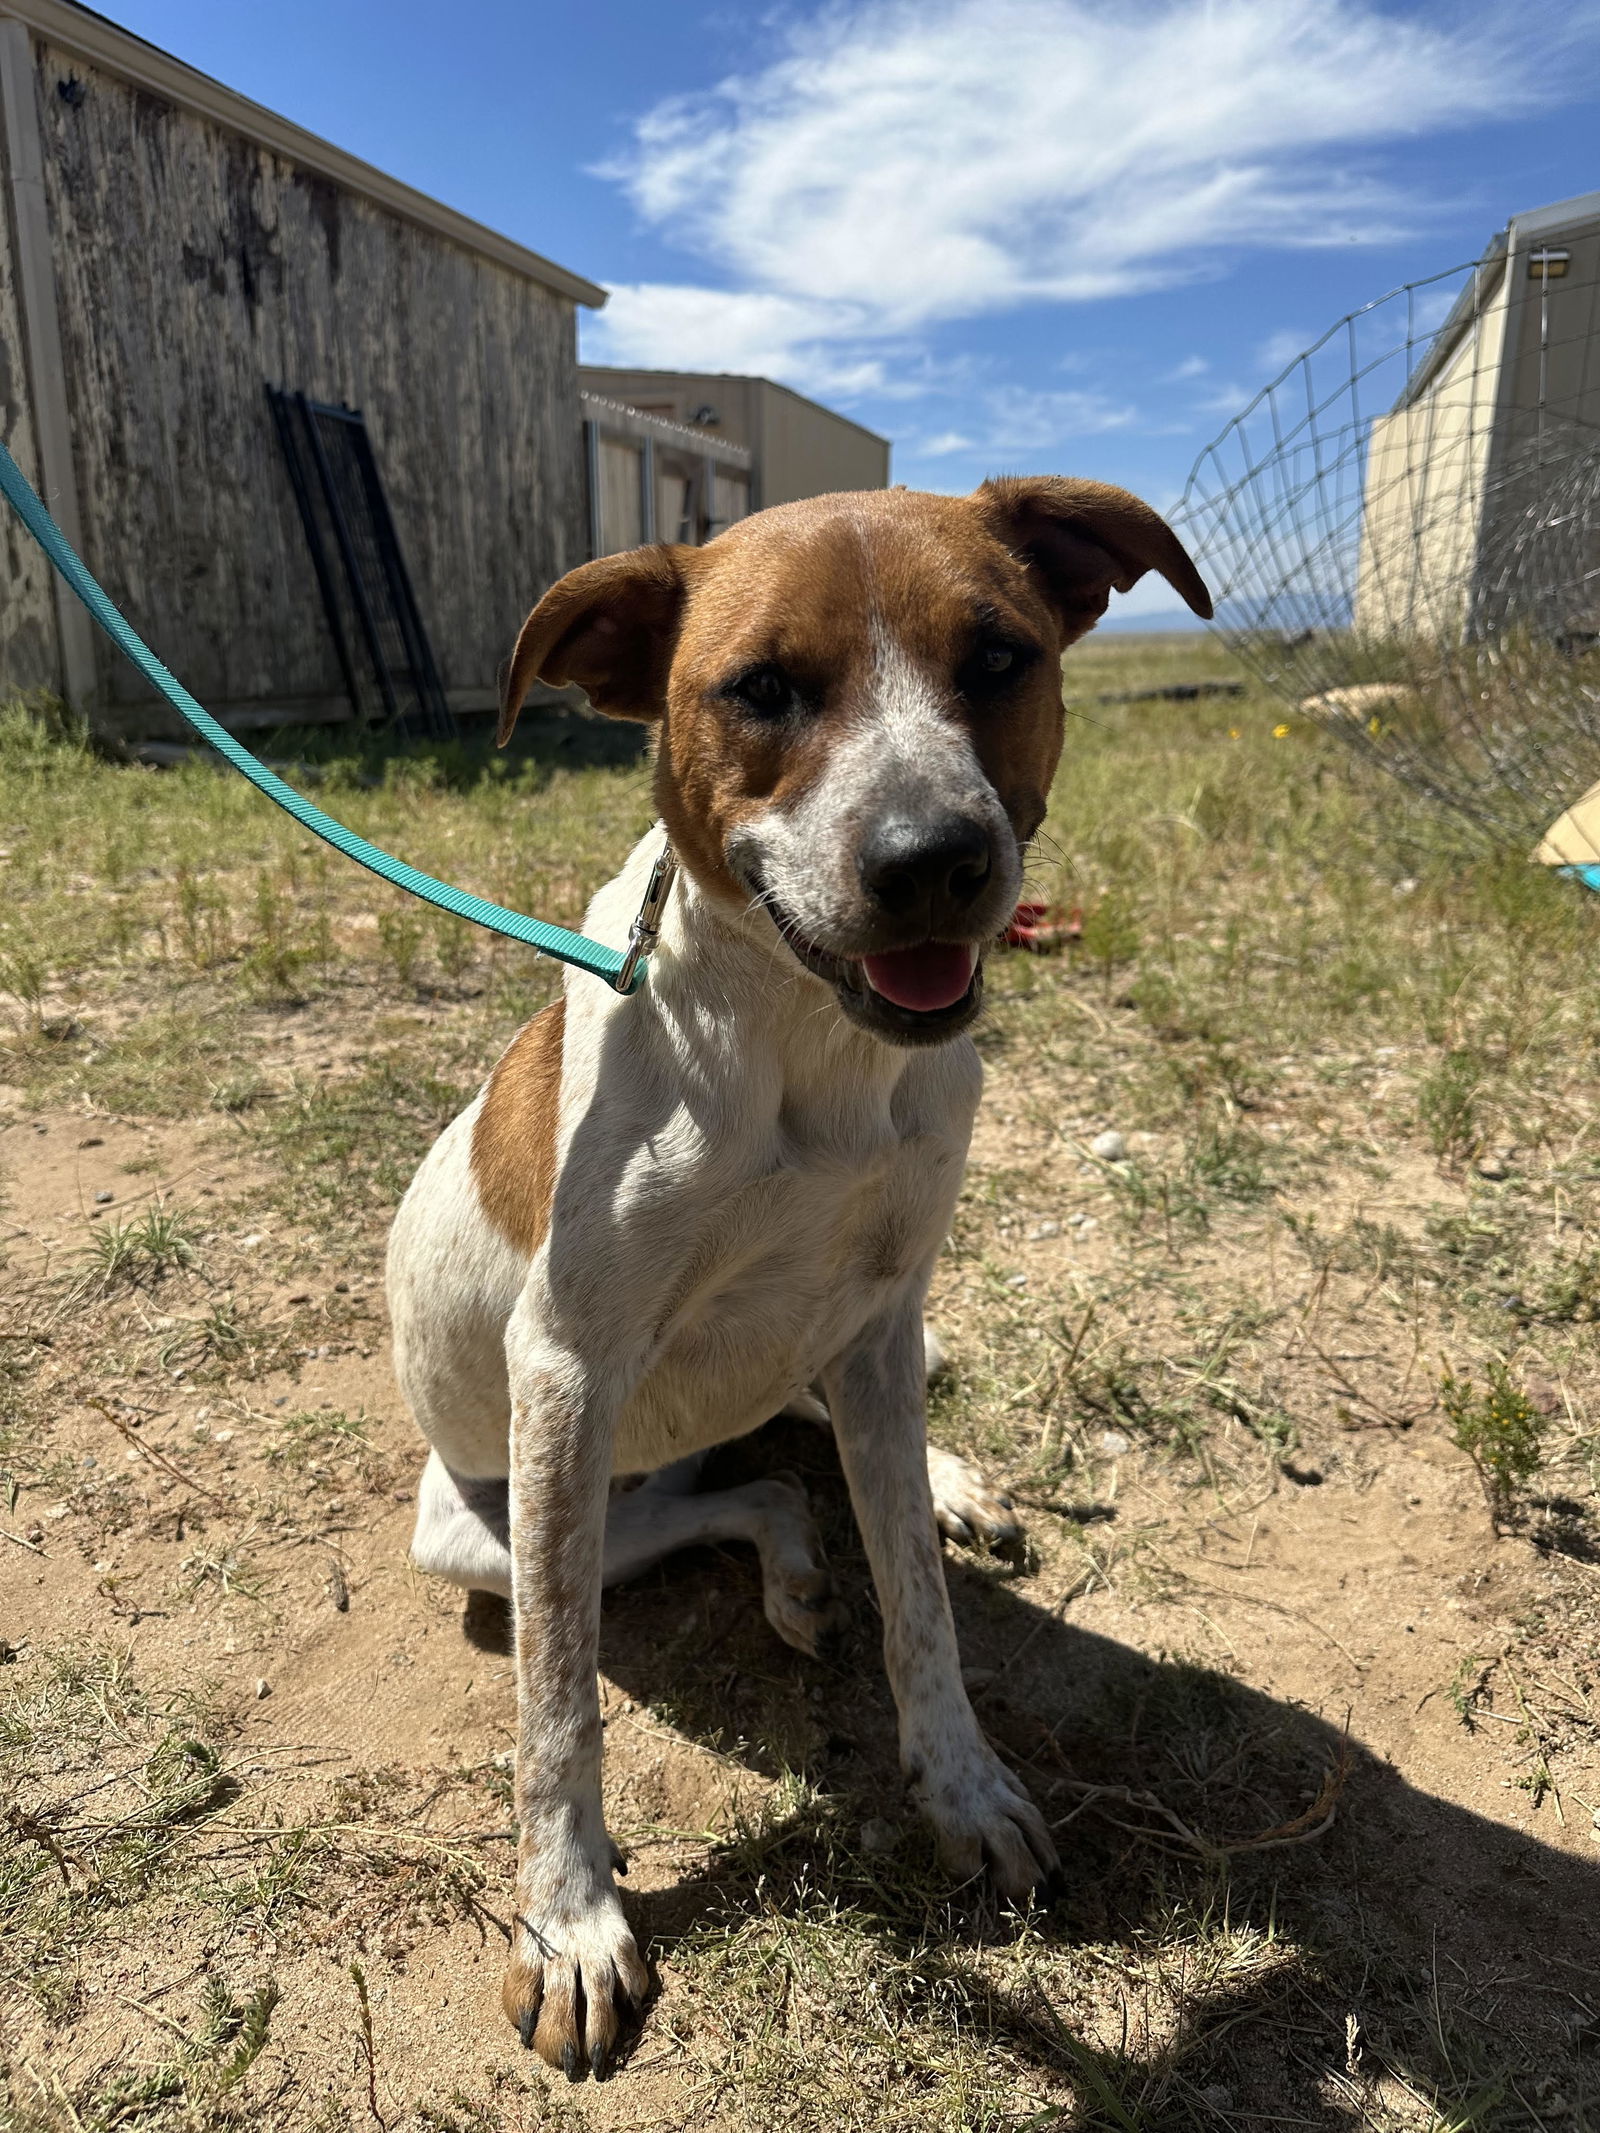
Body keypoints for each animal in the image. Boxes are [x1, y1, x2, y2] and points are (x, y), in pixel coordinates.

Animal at [388, 475, 1211, 2073]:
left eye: (1001, 657)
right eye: (761, 688)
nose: (933, 860)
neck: (806, 1047)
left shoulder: (883, 1317)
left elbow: (921, 1611)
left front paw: (962, 1786)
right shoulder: (566, 1377)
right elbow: (556, 1704)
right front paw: (570, 1922)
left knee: (792, 1461)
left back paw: (906, 1507)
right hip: (490, 1526)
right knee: (720, 1504)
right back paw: (783, 1561)